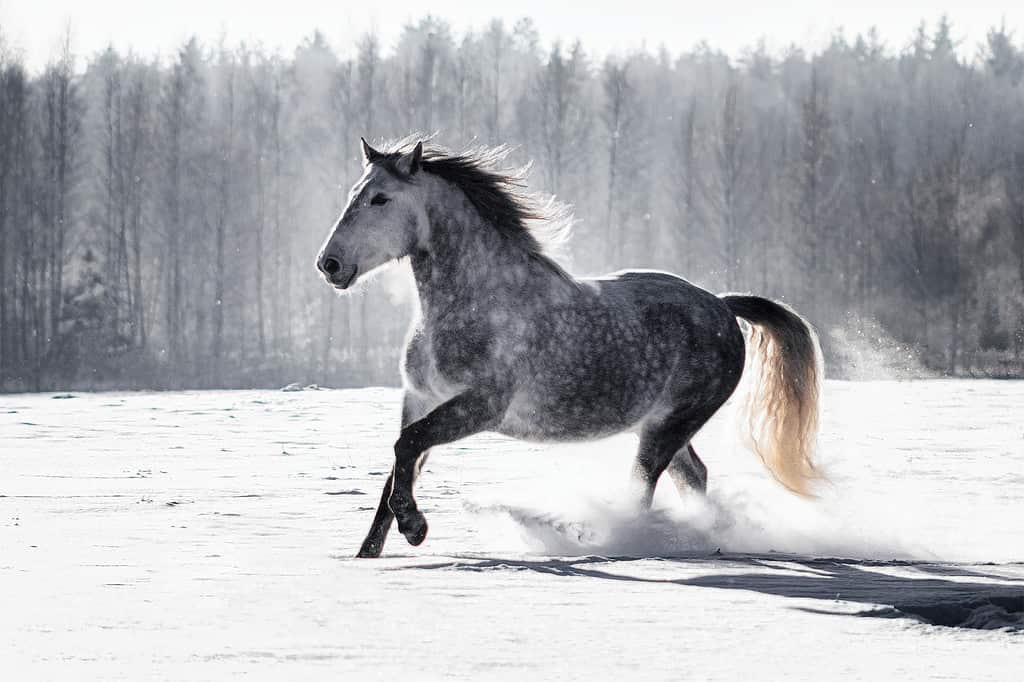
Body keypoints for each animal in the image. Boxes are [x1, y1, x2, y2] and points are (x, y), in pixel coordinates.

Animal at [315, 135, 819, 557]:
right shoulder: (419, 398)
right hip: (664, 426)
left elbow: (406, 447)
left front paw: (415, 527)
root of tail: (722, 305)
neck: (476, 301)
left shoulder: (481, 406)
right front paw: (368, 554)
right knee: (694, 475)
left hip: (667, 428)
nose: (329, 264)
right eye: (353, 193)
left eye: (381, 198)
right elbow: (397, 468)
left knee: (643, 488)